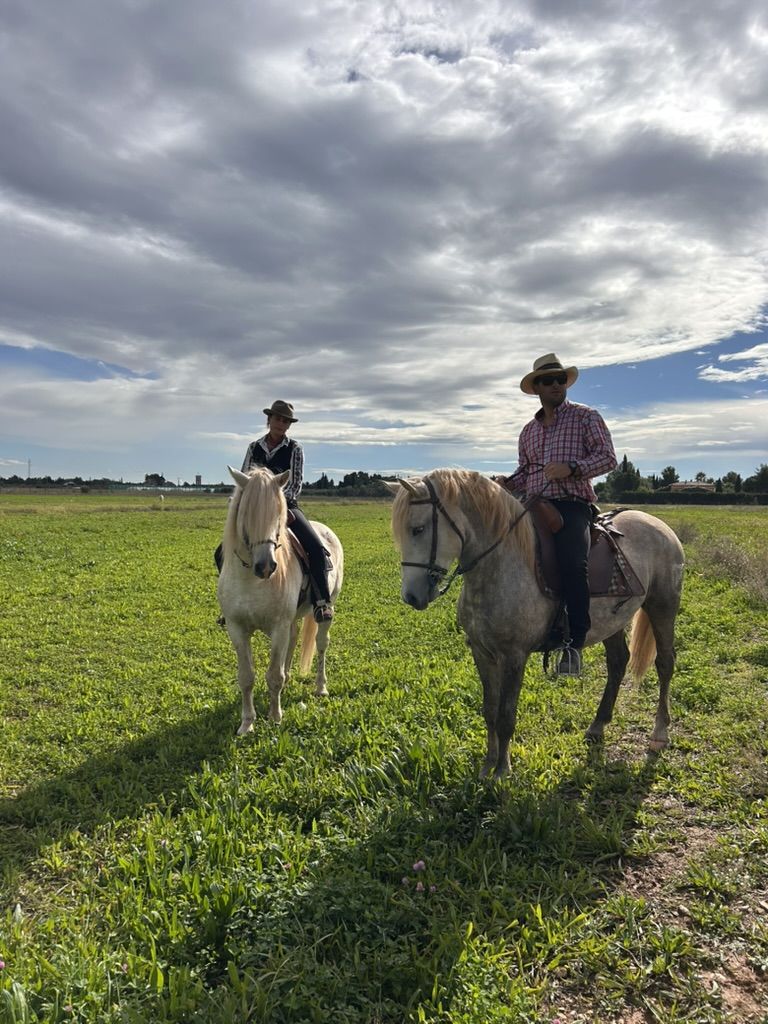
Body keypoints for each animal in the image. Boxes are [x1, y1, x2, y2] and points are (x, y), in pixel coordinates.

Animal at [217, 466, 344, 731]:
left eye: (278, 514)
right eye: (246, 514)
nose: (266, 566)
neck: (251, 581)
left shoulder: (278, 626)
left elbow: (274, 675)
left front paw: (275, 717)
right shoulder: (237, 628)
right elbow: (246, 677)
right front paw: (247, 723)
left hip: (328, 607)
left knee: (321, 643)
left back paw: (321, 687)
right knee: (294, 639)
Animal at [386, 469, 684, 780]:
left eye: (418, 529)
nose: (411, 596)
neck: (500, 563)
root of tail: (661, 527)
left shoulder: (514, 656)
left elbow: (506, 716)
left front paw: (502, 771)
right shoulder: (481, 652)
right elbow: (489, 711)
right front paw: (487, 765)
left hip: (663, 606)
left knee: (665, 663)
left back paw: (660, 733)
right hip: (611, 623)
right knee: (617, 662)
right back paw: (597, 726)